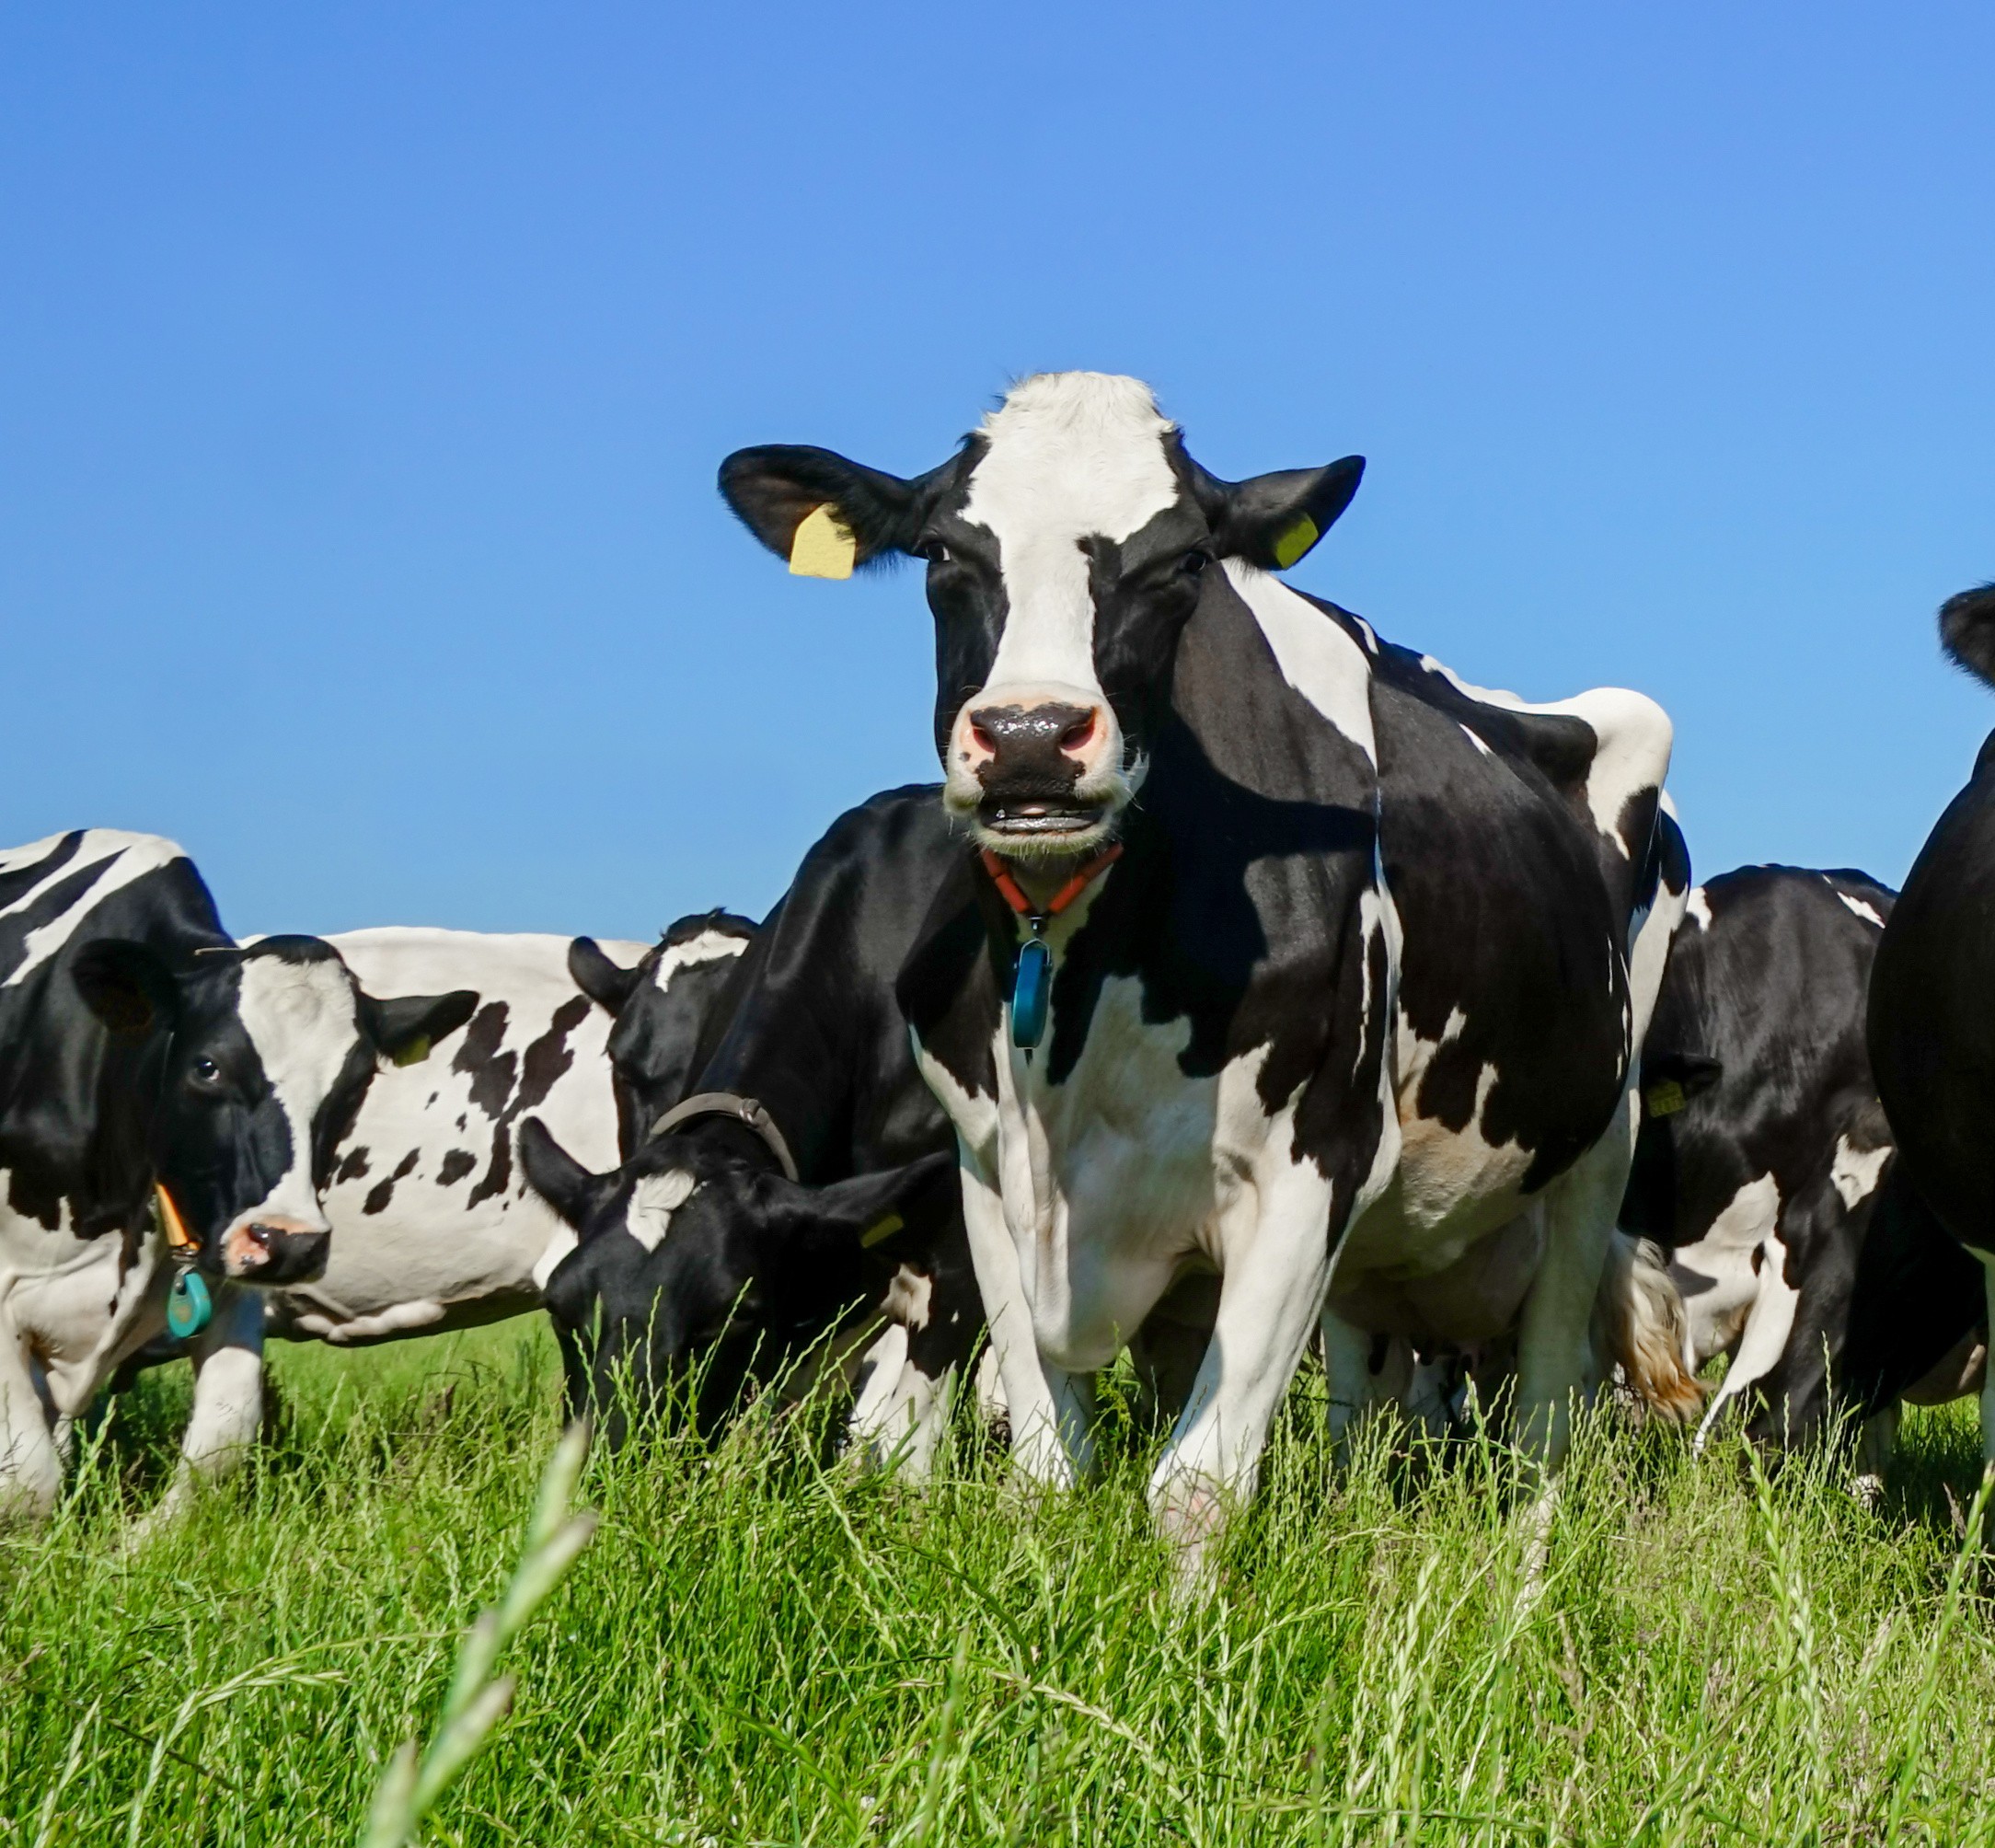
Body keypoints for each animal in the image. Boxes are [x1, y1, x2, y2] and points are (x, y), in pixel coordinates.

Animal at [0, 834, 474, 1517]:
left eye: (358, 1082)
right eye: (207, 1067)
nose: (291, 1242)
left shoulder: (228, 1280)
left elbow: (223, 1438)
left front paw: (141, 1540)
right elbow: (27, 1481)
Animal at [718, 375, 1700, 1580]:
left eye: (1180, 561)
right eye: (945, 551)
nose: (1031, 736)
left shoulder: (1310, 1162)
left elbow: (1196, 1488)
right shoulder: (986, 1172)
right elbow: (1044, 1474)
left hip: (1594, 1151)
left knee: (1543, 1424)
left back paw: (1512, 1582)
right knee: (1367, 1403)